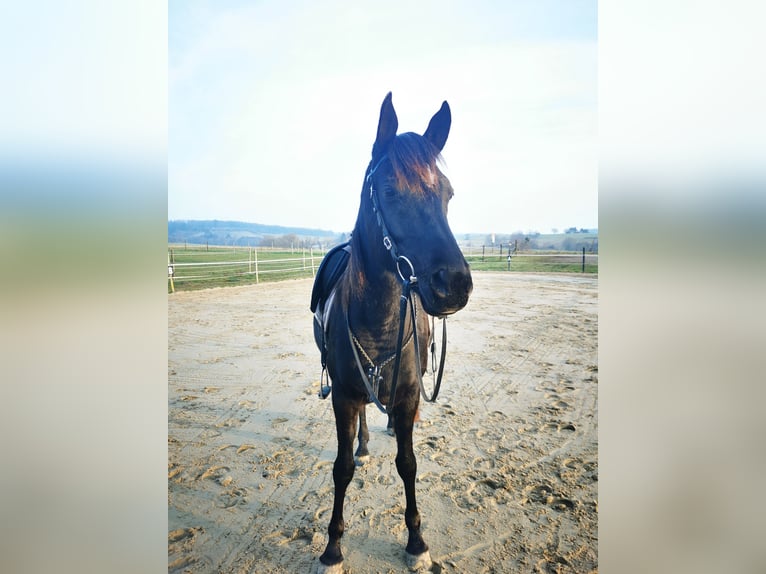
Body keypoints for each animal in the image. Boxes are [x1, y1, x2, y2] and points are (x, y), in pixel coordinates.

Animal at [311, 92, 473, 572]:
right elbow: (341, 468)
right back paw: (365, 443)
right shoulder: (344, 396)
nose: (454, 283)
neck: (378, 321)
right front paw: (332, 547)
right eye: (387, 190)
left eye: (447, 193)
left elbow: (408, 463)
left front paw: (416, 541)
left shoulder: (407, 396)